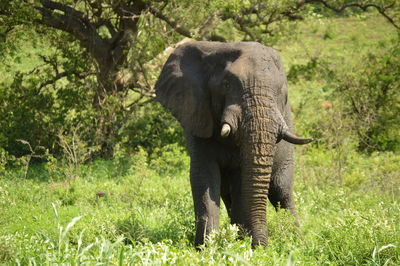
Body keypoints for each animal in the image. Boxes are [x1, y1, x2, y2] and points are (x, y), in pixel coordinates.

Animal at [155, 41, 310, 247]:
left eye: (281, 93)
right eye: (226, 85)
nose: (261, 247)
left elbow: (241, 181)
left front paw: (238, 244)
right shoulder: (198, 114)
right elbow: (203, 176)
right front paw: (207, 247)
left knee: (280, 191)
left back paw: (297, 241)